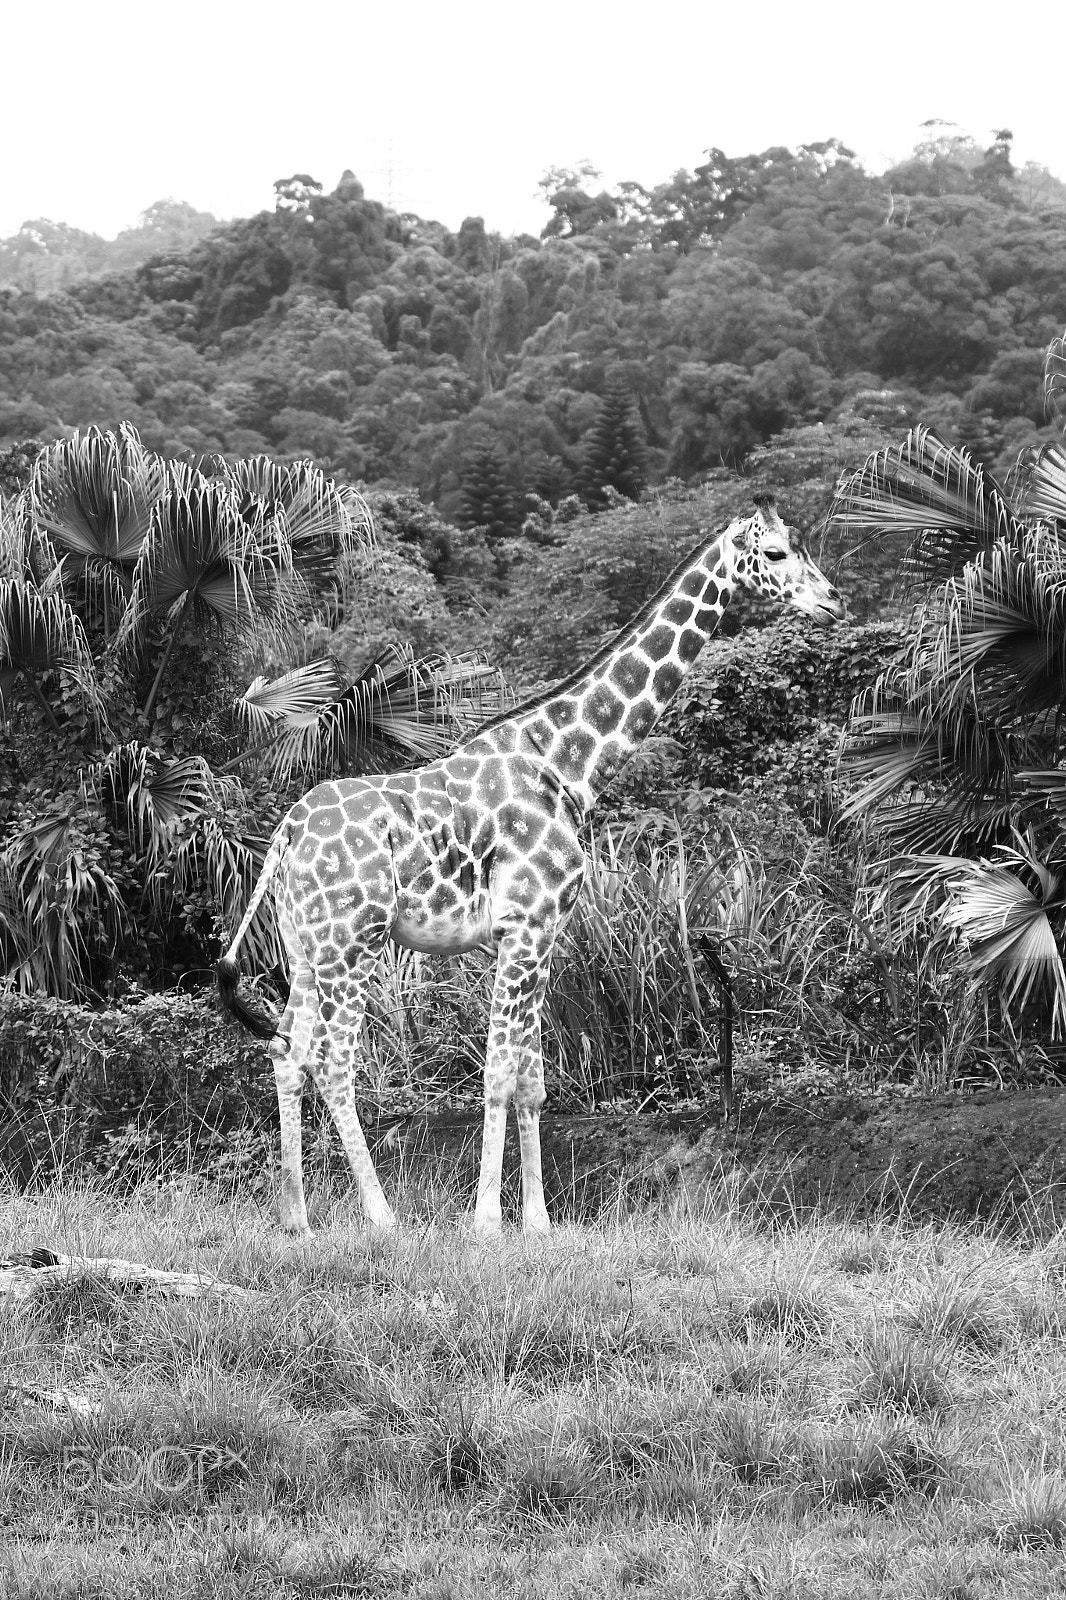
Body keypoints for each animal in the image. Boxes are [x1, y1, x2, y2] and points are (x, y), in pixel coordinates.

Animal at [218, 494, 845, 1237]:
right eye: (776, 552)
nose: (833, 600)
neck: (569, 763)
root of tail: (286, 833)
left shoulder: (541, 935)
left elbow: (533, 1079)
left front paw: (538, 1220)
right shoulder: (525, 926)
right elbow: (497, 1072)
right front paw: (488, 1219)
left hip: (304, 946)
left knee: (286, 1051)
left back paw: (297, 1219)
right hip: (354, 941)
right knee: (333, 1060)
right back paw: (382, 1216)